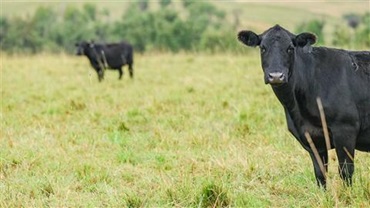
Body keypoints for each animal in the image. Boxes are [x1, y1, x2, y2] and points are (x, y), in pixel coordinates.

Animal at [238, 24, 368, 188]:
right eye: (262, 48)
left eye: (290, 48)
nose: (276, 76)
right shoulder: (312, 138)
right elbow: (320, 174)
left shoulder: (345, 130)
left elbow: (346, 172)